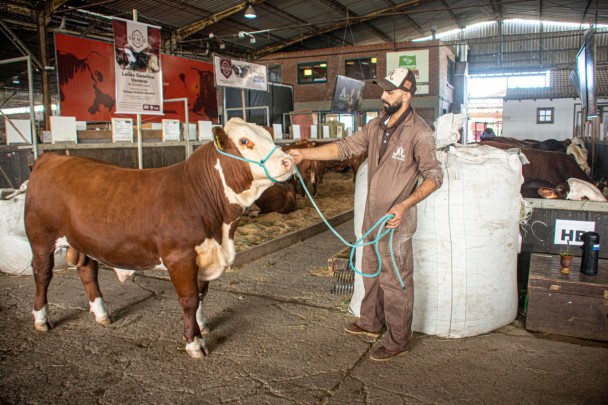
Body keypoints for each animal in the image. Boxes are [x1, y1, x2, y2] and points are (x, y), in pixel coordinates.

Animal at [25, 118, 296, 358]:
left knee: (87, 270)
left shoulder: (203, 253)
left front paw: (202, 325)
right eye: (244, 140)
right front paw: (194, 343)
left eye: (269, 135)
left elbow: (200, 295)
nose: (288, 161)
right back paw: (41, 319)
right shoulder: (179, 257)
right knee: (42, 274)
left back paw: (102, 314)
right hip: (41, 238)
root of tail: (53, 158)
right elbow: (189, 300)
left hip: (83, 239)